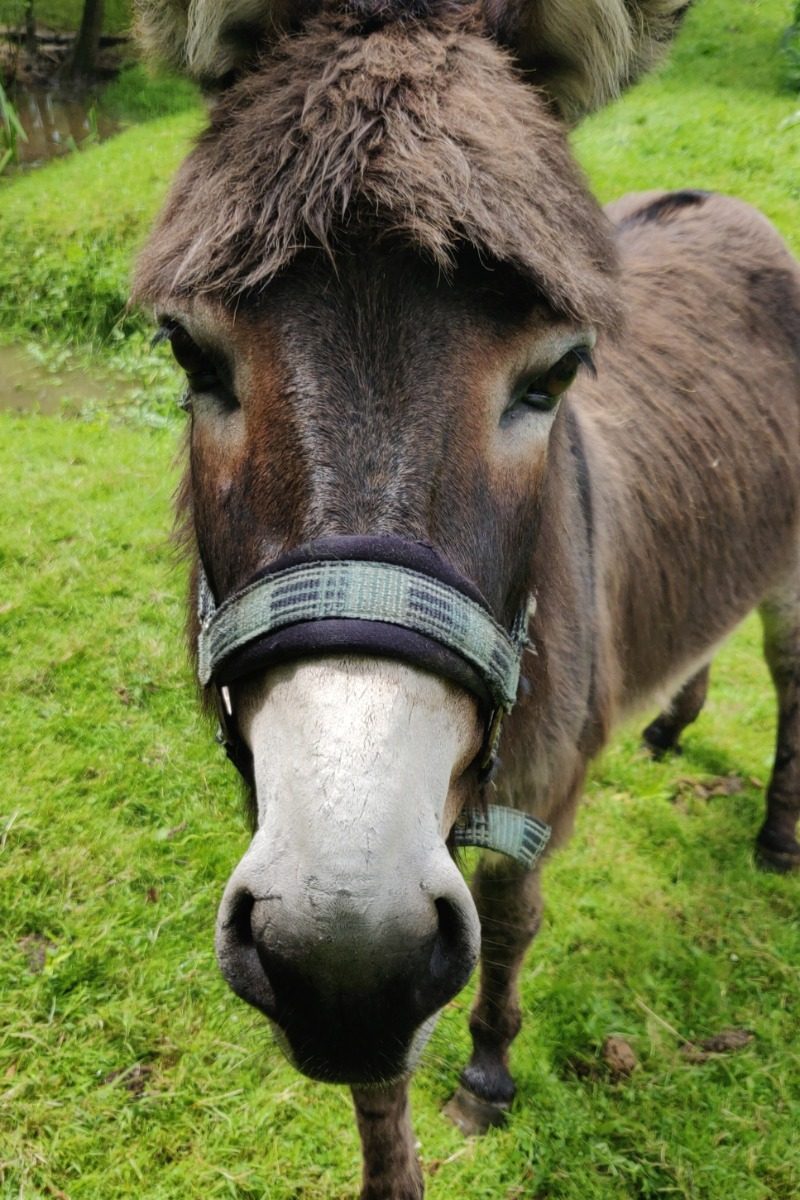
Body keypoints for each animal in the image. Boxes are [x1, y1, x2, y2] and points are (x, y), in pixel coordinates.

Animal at [132, 1, 800, 1195]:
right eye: (190, 353)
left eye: (557, 374)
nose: (348, 955)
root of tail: (721, 201)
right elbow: (373, 1082)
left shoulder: (538, 789)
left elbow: (509, 916)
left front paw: (488, 1071)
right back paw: (673, 723)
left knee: (785, 671)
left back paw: (774, 836)